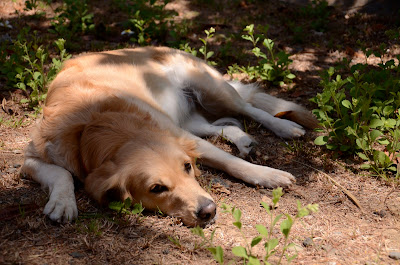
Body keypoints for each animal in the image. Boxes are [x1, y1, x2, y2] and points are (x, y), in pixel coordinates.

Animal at [21, 46, 318, 226]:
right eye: (157, 188)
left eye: (187, 168)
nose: (209, 211)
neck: (95, 125)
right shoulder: (30, 161)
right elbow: (62, 174)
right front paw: (62, 202)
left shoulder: (184, 139)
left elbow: (231, 162)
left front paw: (269, 175)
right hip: (188, 118)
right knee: (225, 126)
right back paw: (244, 141)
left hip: (214, 92)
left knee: (250, 108)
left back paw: (285, 127)